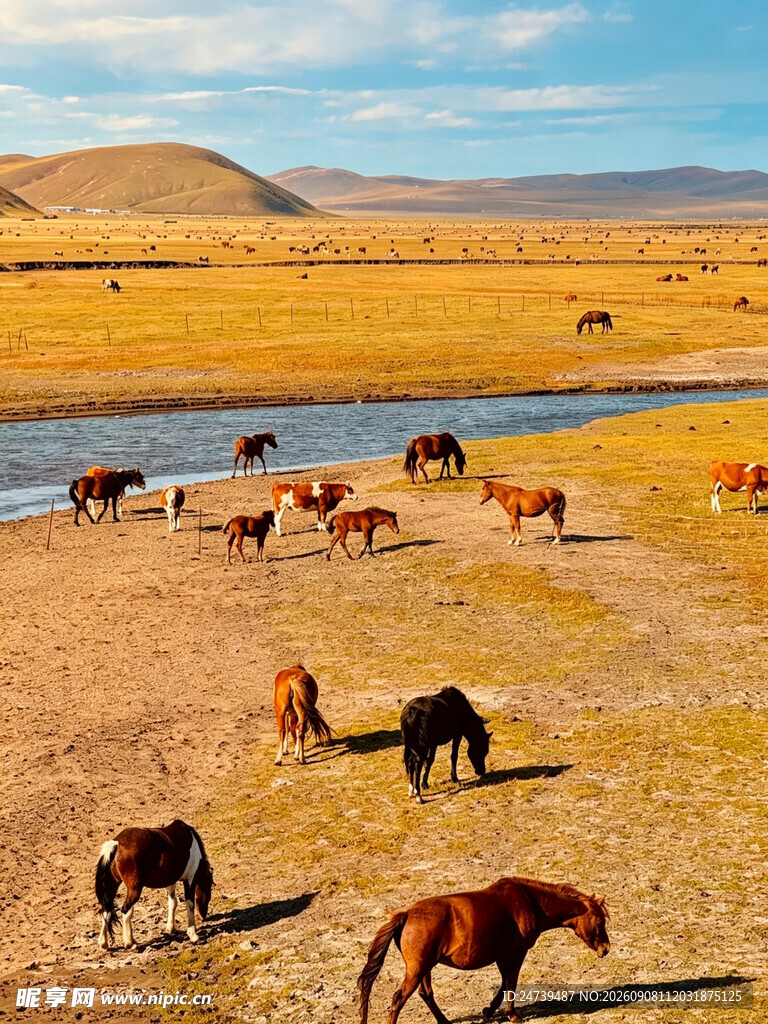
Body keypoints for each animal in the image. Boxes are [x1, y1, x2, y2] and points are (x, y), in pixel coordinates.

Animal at [95, 819, 213, 950]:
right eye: (209, 889)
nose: (203, 916)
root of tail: (117, 843)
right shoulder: (190, 879)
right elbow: (190, 904)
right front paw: (193, 935)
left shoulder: (170, 880)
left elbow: (173, 902)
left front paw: (170, 928)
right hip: (134, 889)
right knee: (126, 911)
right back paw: (130, 943)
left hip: (112, 886)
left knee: (107, 909)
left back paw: (103, 943)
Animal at [357, 876, 610, 1024]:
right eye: (600, 921)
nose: (606, 949)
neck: (530, 902)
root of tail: (406, 914)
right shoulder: (515, 953)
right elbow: (510, 984)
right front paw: (512, 1015)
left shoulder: (502, 956)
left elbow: (504, 984)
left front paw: (489, 1011)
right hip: (417, 969)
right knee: (399, 998)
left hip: (424, 968)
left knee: (425, 994)